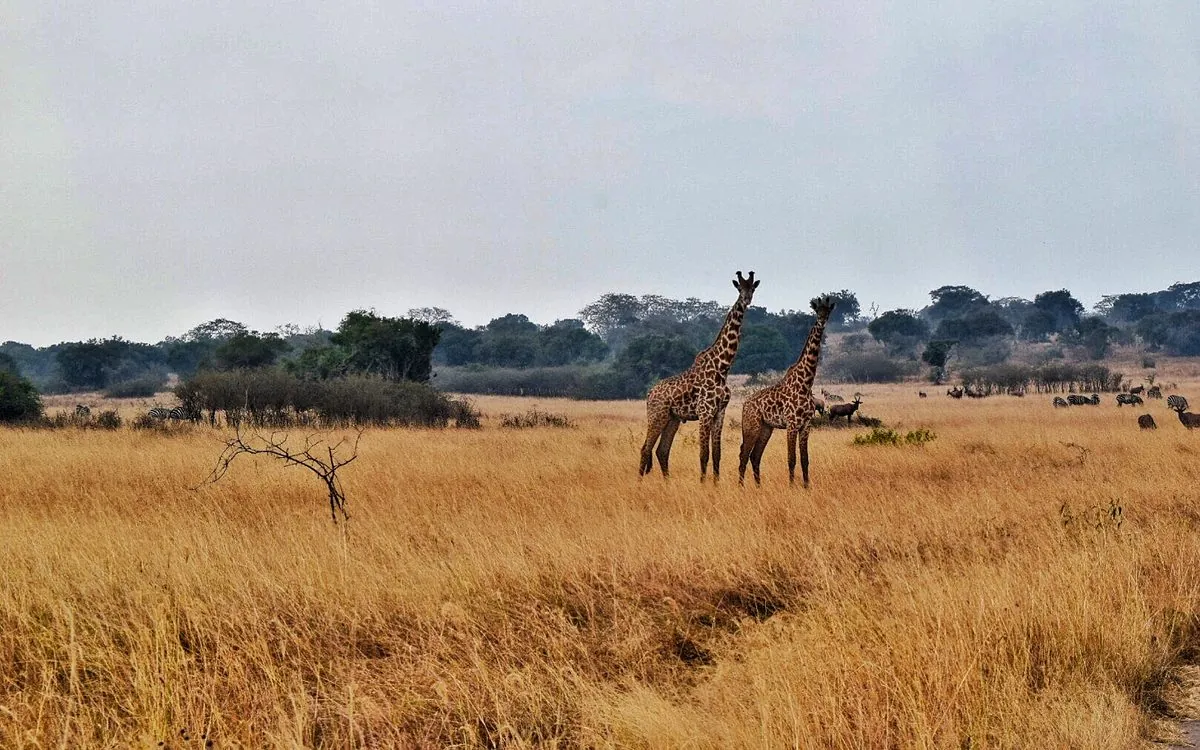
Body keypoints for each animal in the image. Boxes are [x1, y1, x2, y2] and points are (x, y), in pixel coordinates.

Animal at [639, 271, 759, 480]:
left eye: (752, 288)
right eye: (739, 288)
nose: (747, 300)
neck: (722, 368)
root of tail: (649, 393)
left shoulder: (719, 413)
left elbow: (717, 454)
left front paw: (716, 483)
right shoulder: (705, 412)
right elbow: (704, 454)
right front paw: (703, 483)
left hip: (672, 419)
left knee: (662, 450)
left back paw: (667, 483)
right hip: (657, 415)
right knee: (645, 448)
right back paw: (639, 482)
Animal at [738, 295, 836, 488]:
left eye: (828, 311)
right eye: (817, 311)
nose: (822, 321)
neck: (805, 384)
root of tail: (745, 405)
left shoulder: (806, 425)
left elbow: (805, 459)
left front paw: (806, 486)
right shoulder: (791, 425)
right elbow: (791, 459)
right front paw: (792, 486)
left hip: (766, 428)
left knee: (755, 456)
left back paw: (758, 486)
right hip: (752, 425)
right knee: (744, 454)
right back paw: (741, 487)